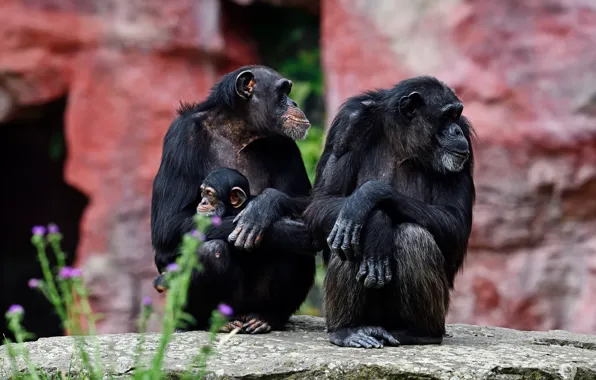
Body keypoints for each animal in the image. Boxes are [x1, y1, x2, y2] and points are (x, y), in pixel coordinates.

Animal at [149, 65, 316, 332]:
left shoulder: (286, 142)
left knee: (296, 250)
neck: (237, 131)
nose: (295, 102)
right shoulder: (180, 137)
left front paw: (264, 207)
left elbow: (309, 199)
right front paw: (281, 228)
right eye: (282, 92)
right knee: (212, 251)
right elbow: (168, 224)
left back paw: (266, 317)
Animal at [304, 75, 472, 348]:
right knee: (346, 235)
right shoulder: (349, 123)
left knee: (413, 235)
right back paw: (348, 330)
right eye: (447, 116)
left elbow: (455, 221)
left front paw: (368, 197)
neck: (402, 138)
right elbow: (322, 202)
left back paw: (419, 332)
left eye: (457, 116)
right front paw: (376, 223)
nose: (456, 130)